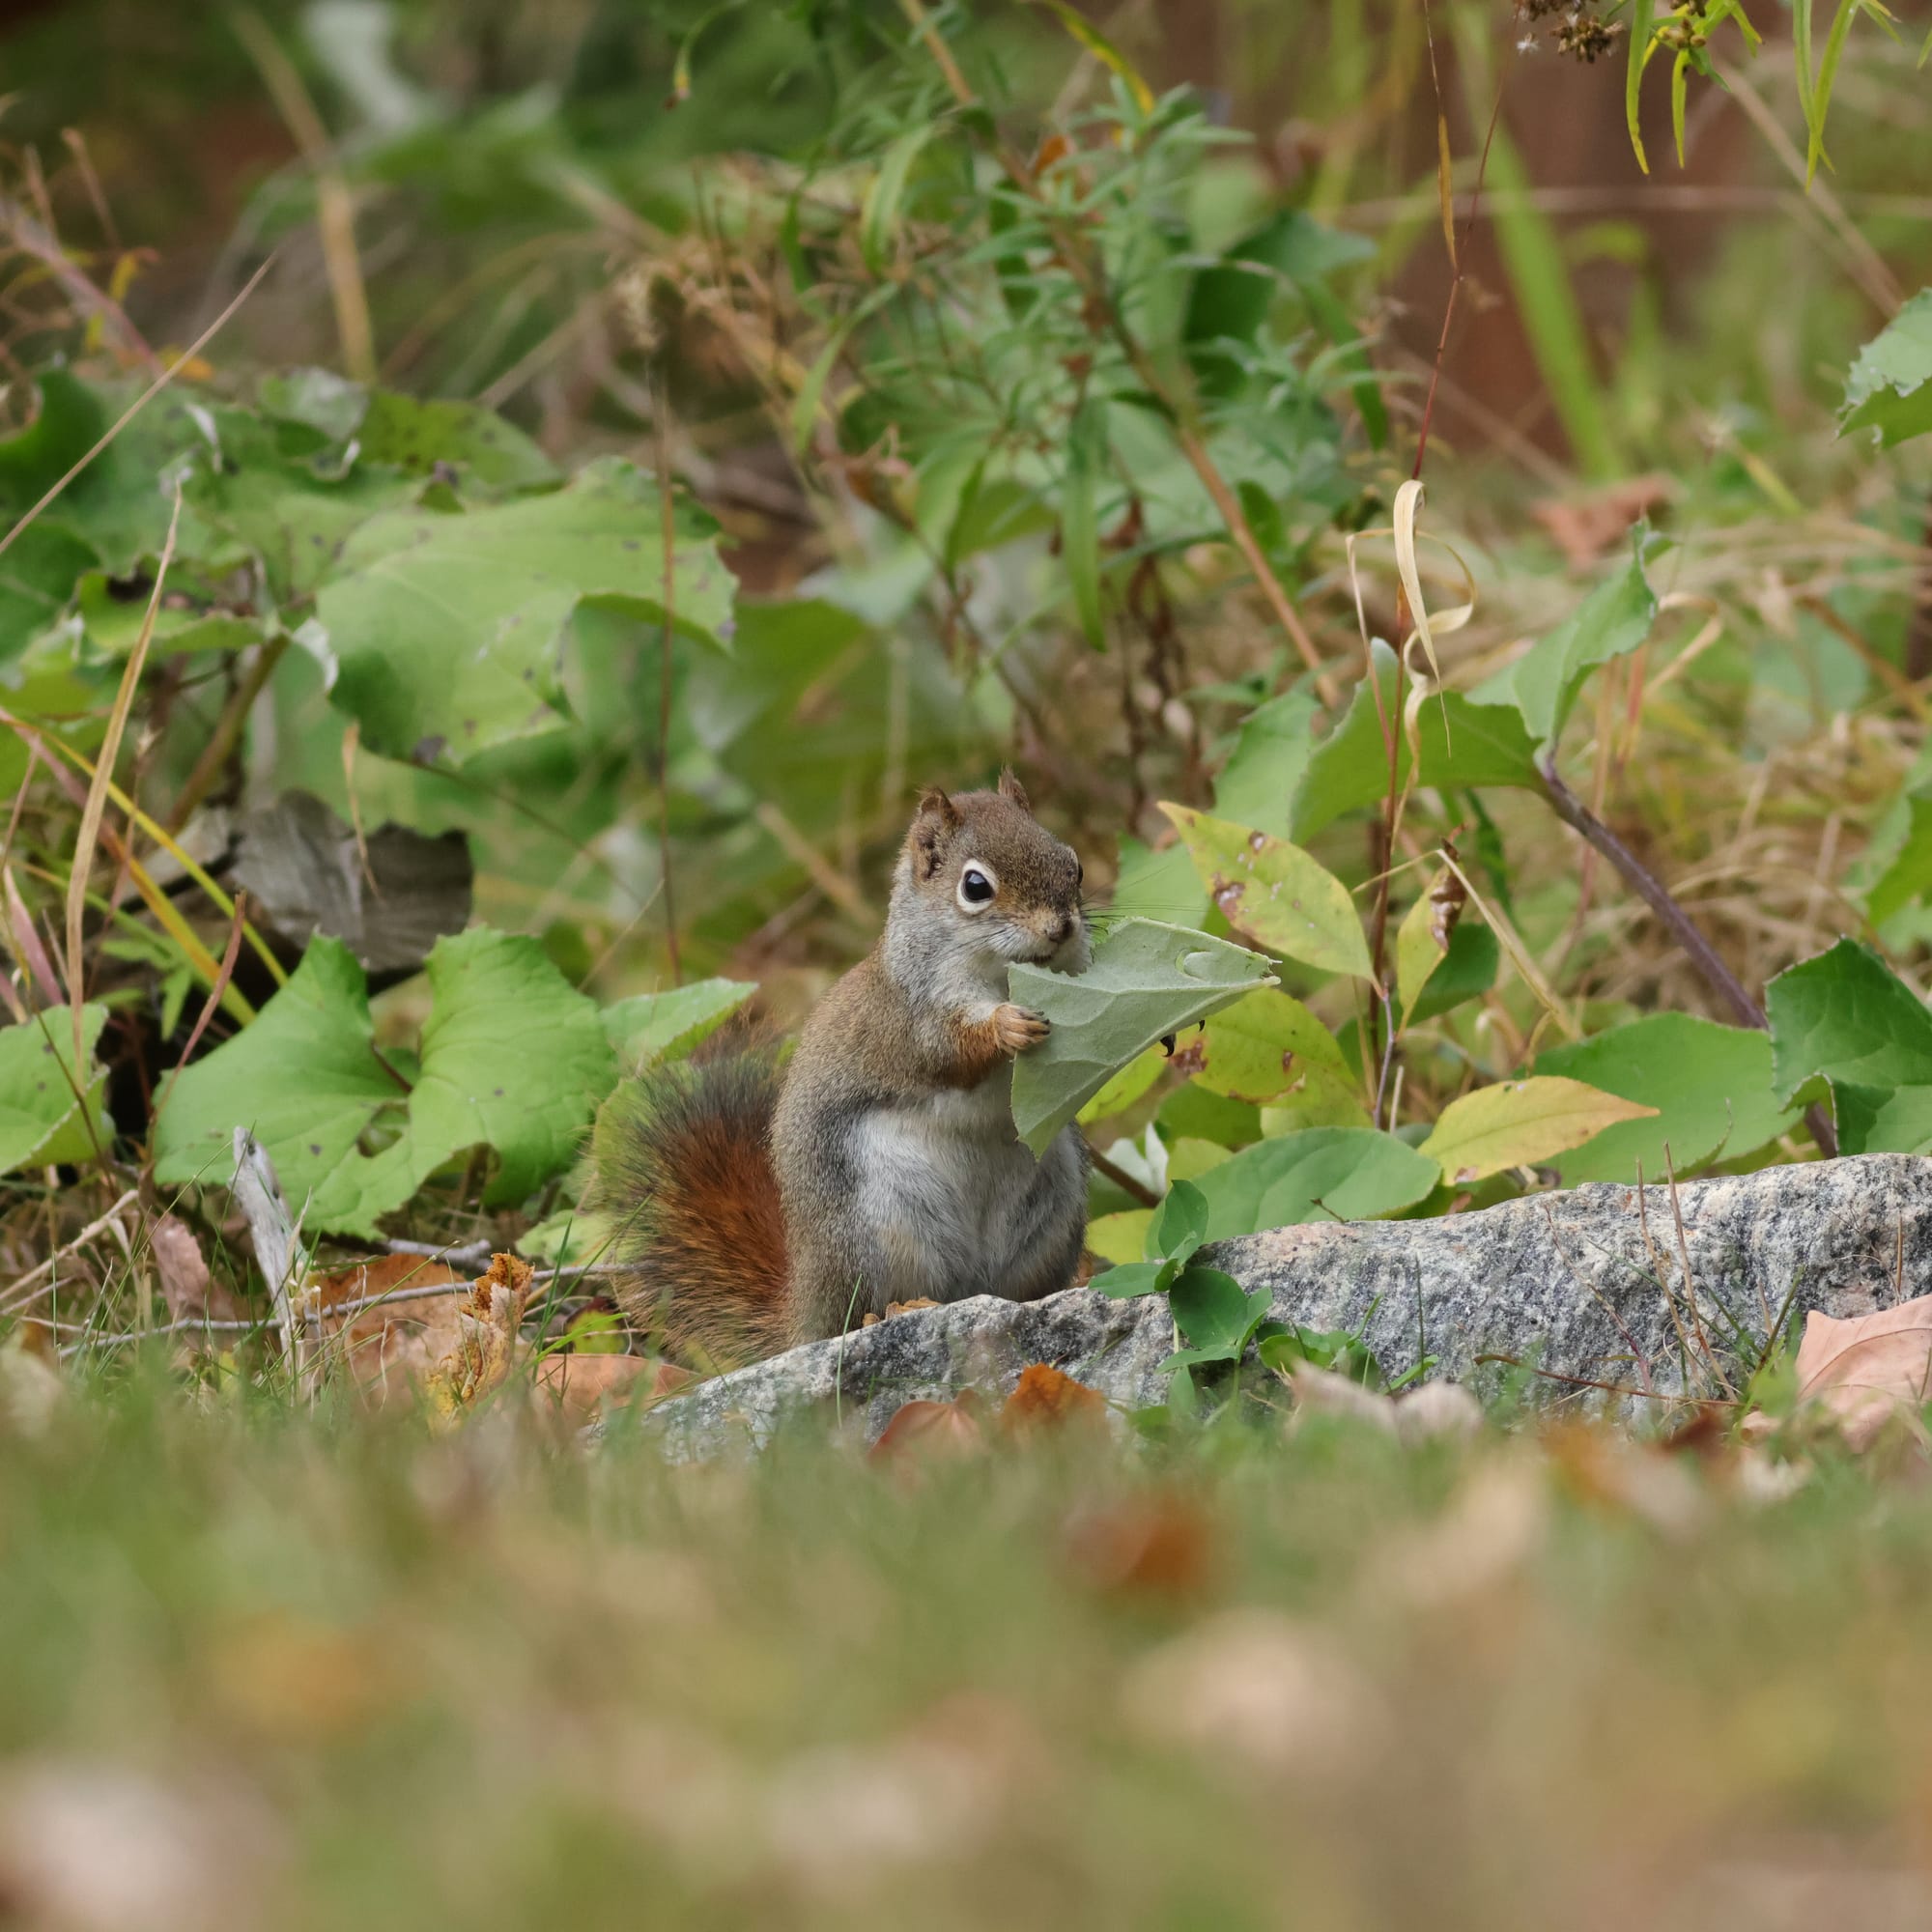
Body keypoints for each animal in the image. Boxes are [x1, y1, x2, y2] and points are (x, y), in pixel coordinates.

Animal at [588, 770, 1093, 1372]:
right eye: (975, 887)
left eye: (1074, 865)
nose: (1061, 928)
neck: (993, 975)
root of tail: (807, 1306)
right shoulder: (908, 1019)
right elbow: (946, 1051)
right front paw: (1005, 1027)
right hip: (876, 1227)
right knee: (863, 1311)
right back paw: (896, 1311)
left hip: (1052, 1211)